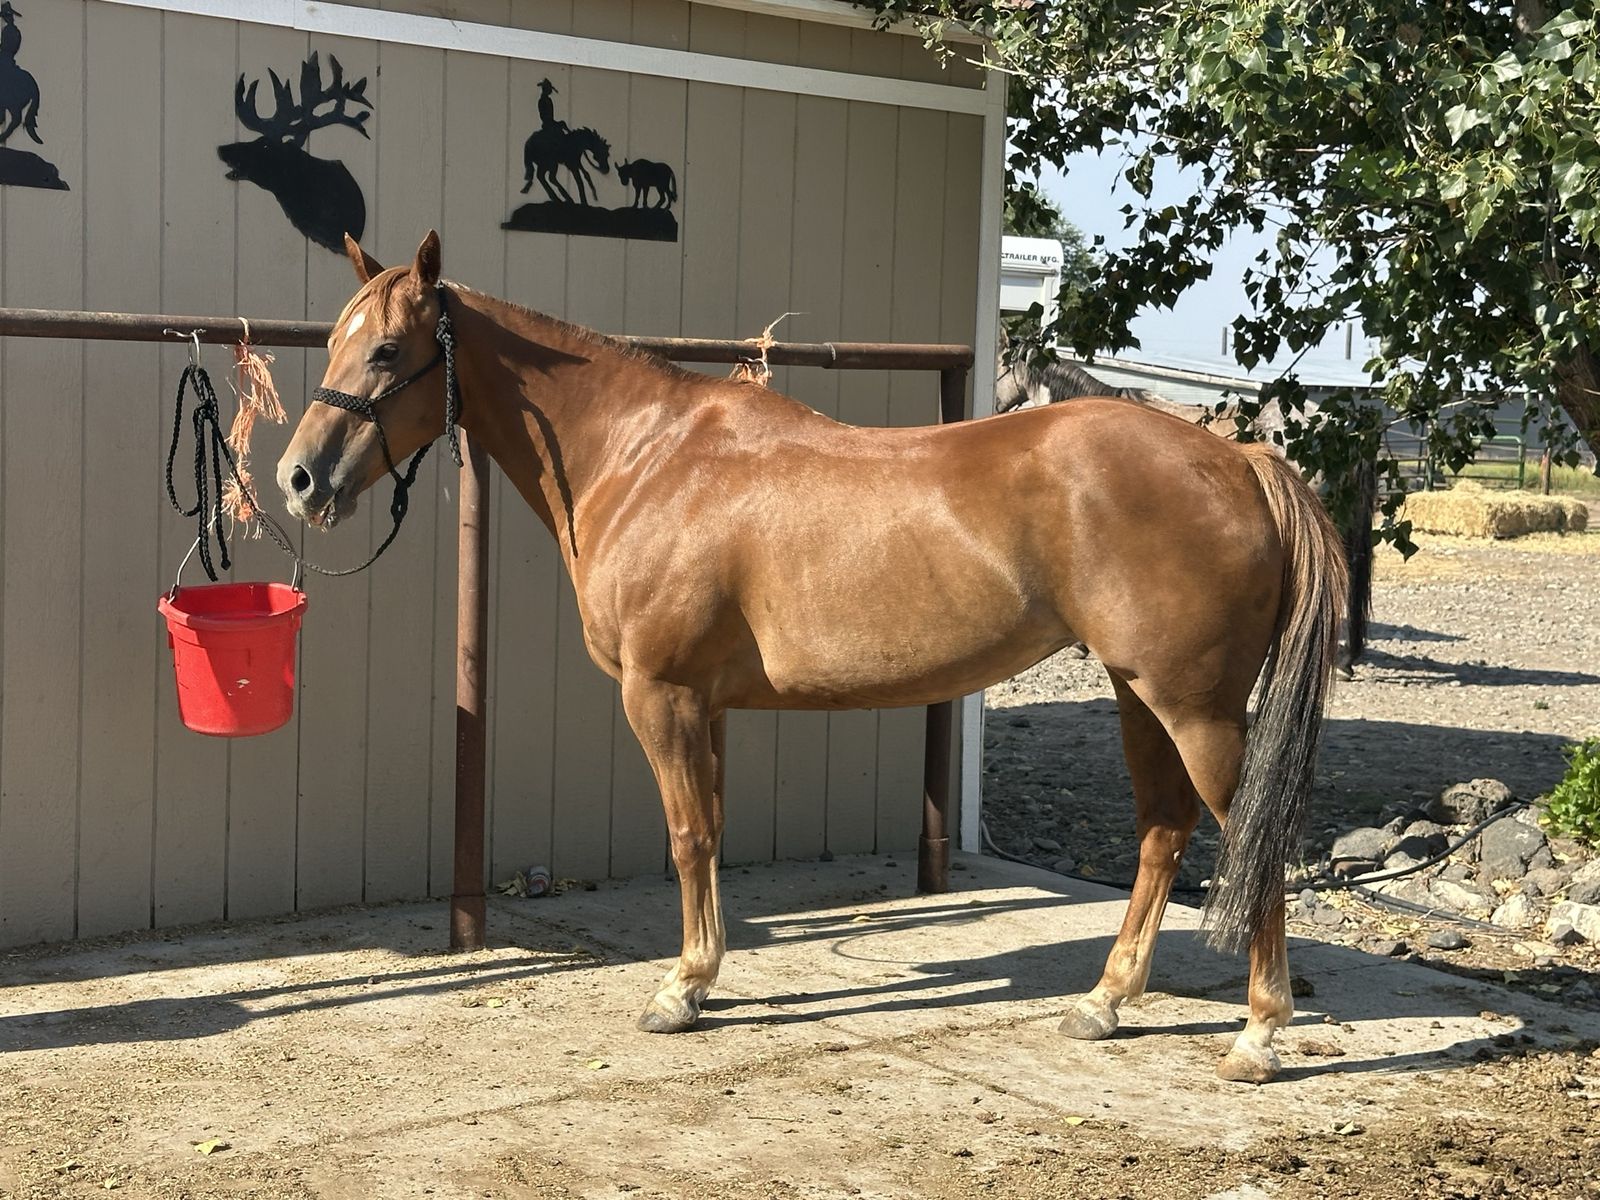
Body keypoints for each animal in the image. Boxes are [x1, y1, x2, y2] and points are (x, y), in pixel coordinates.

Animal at [278, 232, 1347, 1084]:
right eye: (332, 342)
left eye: (386, 349)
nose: (298, 479)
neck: (648, 458)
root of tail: (1240, 458)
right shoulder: (706, 705)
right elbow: (709, 830)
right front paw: (704, 979)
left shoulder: (661, 695)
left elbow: (687, 838)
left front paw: (678, 990)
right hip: (1140, 694)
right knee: (1163, 832)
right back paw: (1104, 1002)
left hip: (1195, 707)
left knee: (1252, 839)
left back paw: (1258, 1038)